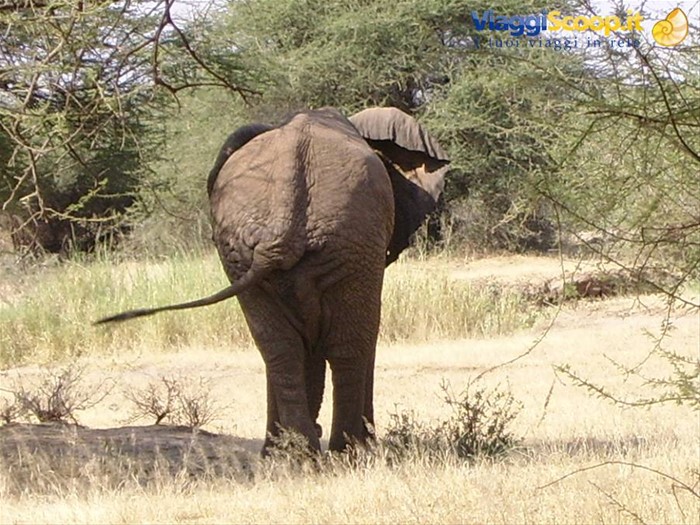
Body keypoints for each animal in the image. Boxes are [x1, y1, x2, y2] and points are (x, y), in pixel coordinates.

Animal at [97, 107, 449, 453]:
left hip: (250, 246)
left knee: (278, 345)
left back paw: (294, 454)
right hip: (348, 239)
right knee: (348, 342)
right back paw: (347, 452)